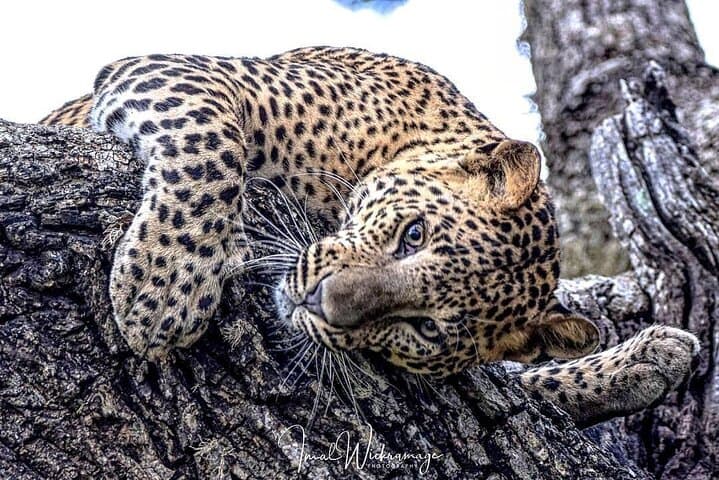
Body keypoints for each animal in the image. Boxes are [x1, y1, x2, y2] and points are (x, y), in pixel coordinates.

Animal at [41, 46, 699, 427]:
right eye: (413, 234)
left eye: (425, 328)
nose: (318, 301)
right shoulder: (189, 72)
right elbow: (211, 146)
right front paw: (162, 291)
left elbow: (527, 385)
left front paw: (643, 360)